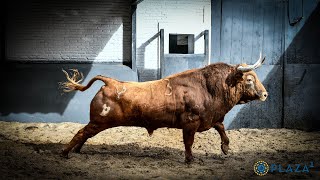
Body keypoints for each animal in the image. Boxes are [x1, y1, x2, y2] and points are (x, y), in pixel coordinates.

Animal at [58, 52, 268, 162]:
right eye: (249, 79)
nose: (265, 94)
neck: (208, 87)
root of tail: (111, 82)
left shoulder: (210, 118)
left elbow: (222, 128)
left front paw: (225, 148)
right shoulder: (190, 123)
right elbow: (189, 142)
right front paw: (190, 159)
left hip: (98, 123)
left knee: (85, 134)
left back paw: (77, 150)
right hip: (99, 121)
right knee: (81, 133)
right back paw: (65, 153)